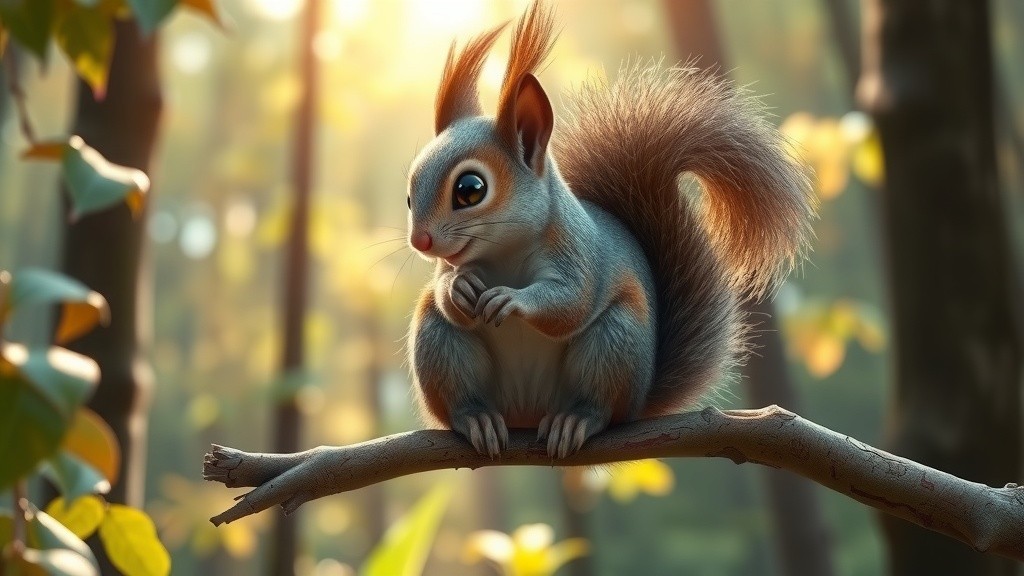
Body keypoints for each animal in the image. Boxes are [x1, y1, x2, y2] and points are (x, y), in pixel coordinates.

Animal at [405, 2, 815, 458]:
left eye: (470, 189)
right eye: (409, 194)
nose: (420, 240)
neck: (503, 252)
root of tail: (526, 414)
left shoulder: (579, 253)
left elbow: (570, 301)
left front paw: (511, 299)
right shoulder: (452, 267)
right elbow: (447, 294)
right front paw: (459, 287)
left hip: (613, 343)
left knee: (600, 405)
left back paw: (574, 420)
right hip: (440, 344)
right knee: (455, 376)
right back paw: (477, 418)